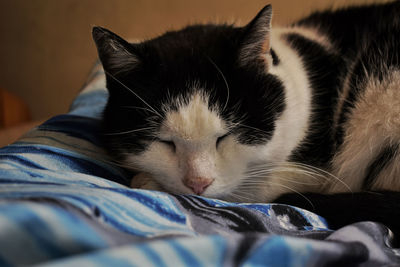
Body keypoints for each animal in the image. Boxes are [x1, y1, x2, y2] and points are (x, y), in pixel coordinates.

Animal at [93, 1, 400, 219]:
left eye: (225, 137)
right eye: (164, 142)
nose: (198, 183)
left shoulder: (315, 173)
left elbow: (247, 189)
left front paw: (147, 182)